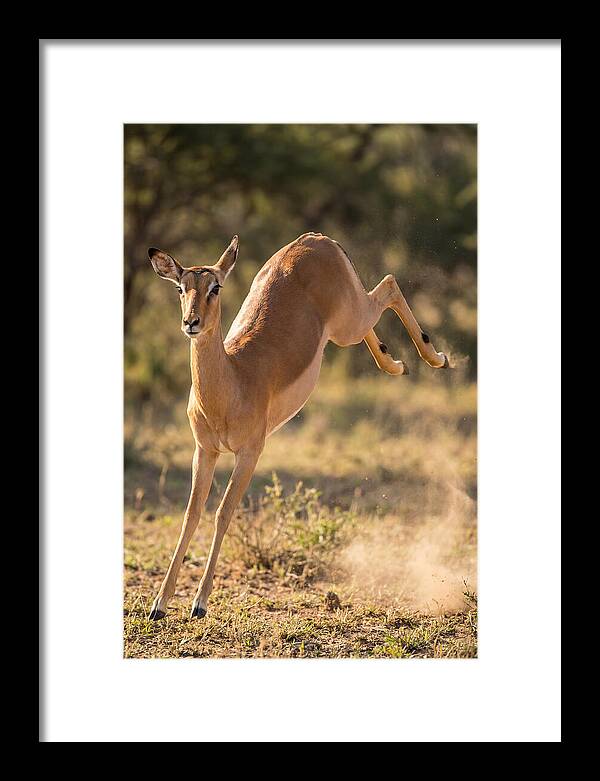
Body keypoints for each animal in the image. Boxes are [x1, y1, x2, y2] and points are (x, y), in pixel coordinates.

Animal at [147, 232, 448, 620]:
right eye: (180, 288)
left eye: (215, 287)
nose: (191, 323)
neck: (233, 381)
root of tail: (316, 239)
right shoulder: (205, 451)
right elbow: (190, 515)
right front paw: (159, 604)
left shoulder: (250, 453)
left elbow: (223, 512)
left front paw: (199, 603)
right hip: (346, 326)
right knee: (379, 306)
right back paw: (396, 364)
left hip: (349, 322)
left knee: (390, 284)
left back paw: (436, 358)